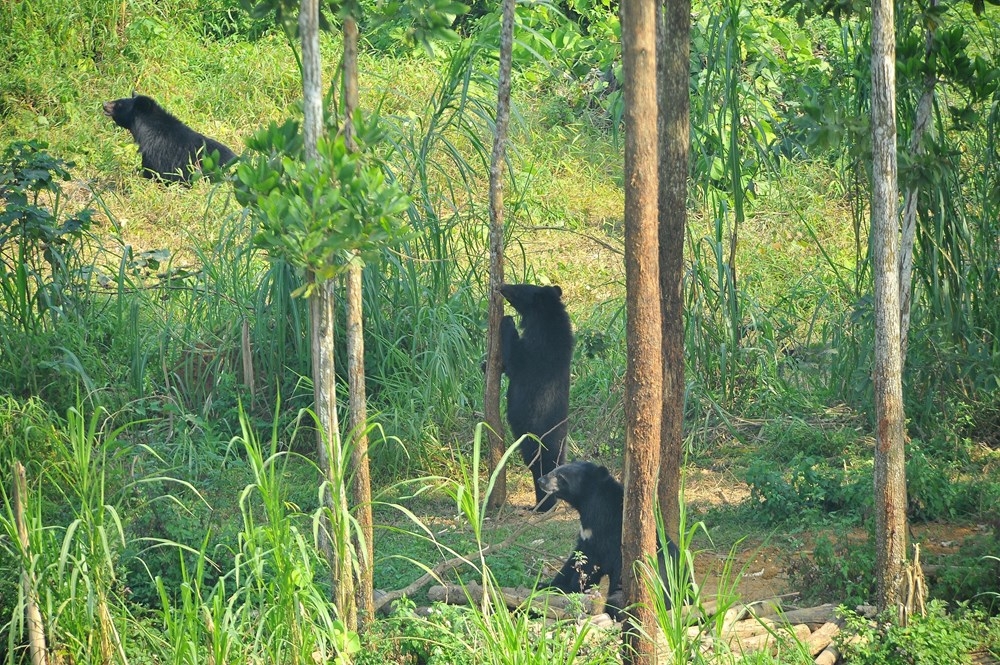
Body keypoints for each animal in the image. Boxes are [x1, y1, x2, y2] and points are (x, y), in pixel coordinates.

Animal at [498, 282, 576, 510]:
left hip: (532, 439)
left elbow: (514, 361)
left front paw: (507, 320)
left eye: (518, 288)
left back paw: (541, 506)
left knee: (538, 467)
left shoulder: (534, 351)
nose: (501, 286)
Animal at [540, 462, 680, 616]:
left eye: (561, 476)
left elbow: (588, 566)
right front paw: (545, 585)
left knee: (617, 601)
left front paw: (569, 589)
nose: (541, 481)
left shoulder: (603, 541)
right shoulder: (585, 537)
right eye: (556, 469)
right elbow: (573, 561)